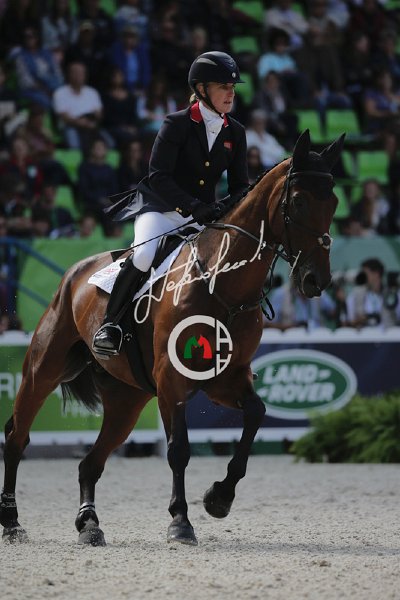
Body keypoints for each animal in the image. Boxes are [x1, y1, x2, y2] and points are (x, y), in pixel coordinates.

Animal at [1, 129, 344, 546]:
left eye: (334, 202)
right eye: (298, 200)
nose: (316, 280)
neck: (221, 283)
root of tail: (75, 272)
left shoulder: (225, 378)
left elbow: (256, 413)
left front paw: (219, 498)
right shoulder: (171, 380)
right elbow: (178, 449)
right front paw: (181, 522)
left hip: (126, 400)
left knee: (90, 463)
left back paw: (89, 525)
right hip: (45, 368)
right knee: (17, 436)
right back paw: (12, 522)